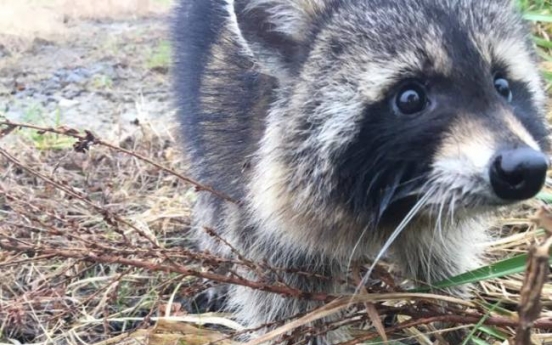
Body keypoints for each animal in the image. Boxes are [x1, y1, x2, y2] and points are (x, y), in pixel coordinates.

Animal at [170, 0, 548, 342]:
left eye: (502, 86)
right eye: (410, 98)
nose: (525, 167)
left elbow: (440, 261)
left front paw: (452, 320)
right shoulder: (256, 194)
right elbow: (288, 299)